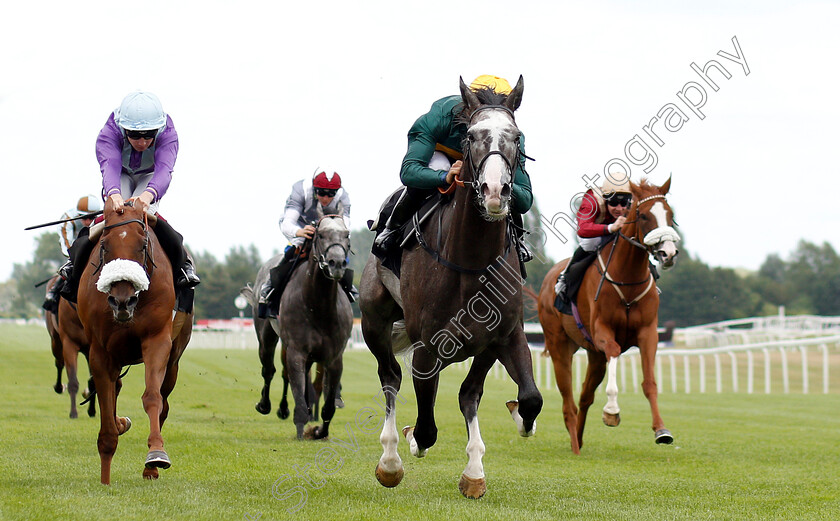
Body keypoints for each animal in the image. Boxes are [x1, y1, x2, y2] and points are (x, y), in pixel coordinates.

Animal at [45, 276, 96, 418]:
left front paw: (92, 409)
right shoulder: (69, 343)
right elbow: (73, 381)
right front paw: (73, 413)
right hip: (56, 341)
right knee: (59, 363)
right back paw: (59, 387)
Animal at [77, 200, 192, 484]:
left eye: (142, 245)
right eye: (104, 245)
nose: (122, 301)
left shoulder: (157, 340)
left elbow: (152, 397)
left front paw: (156, 454)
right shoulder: (100, 351)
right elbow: (106, 405)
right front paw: (105, 478)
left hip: (174, 359)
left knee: (164, 402)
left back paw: (151, 468)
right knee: (115, 388)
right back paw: (120, 423)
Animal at [358, 76, 540, 496]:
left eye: (517, 137)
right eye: (471, 135)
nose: (495, 191)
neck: (472, 263)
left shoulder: (503, 336)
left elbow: (524, 398)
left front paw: (477, 468)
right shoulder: (427, 346)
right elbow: (426, 428)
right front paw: (409, 441)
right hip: (373, 321)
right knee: (390, 377)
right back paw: (389, 459)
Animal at [540, 177, 684, 452]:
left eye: (670, 214)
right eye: (644, 215)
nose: (668, 253)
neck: (628, 280)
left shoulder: (648, 333)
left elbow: (649, 382)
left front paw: (661, 430)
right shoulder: (602, 331)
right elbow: (615, 351)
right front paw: (612, 411)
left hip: (594, 355)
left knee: (584, 396)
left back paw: (580, 438)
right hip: (559, 345)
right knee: (568, 401)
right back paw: (575, 445)